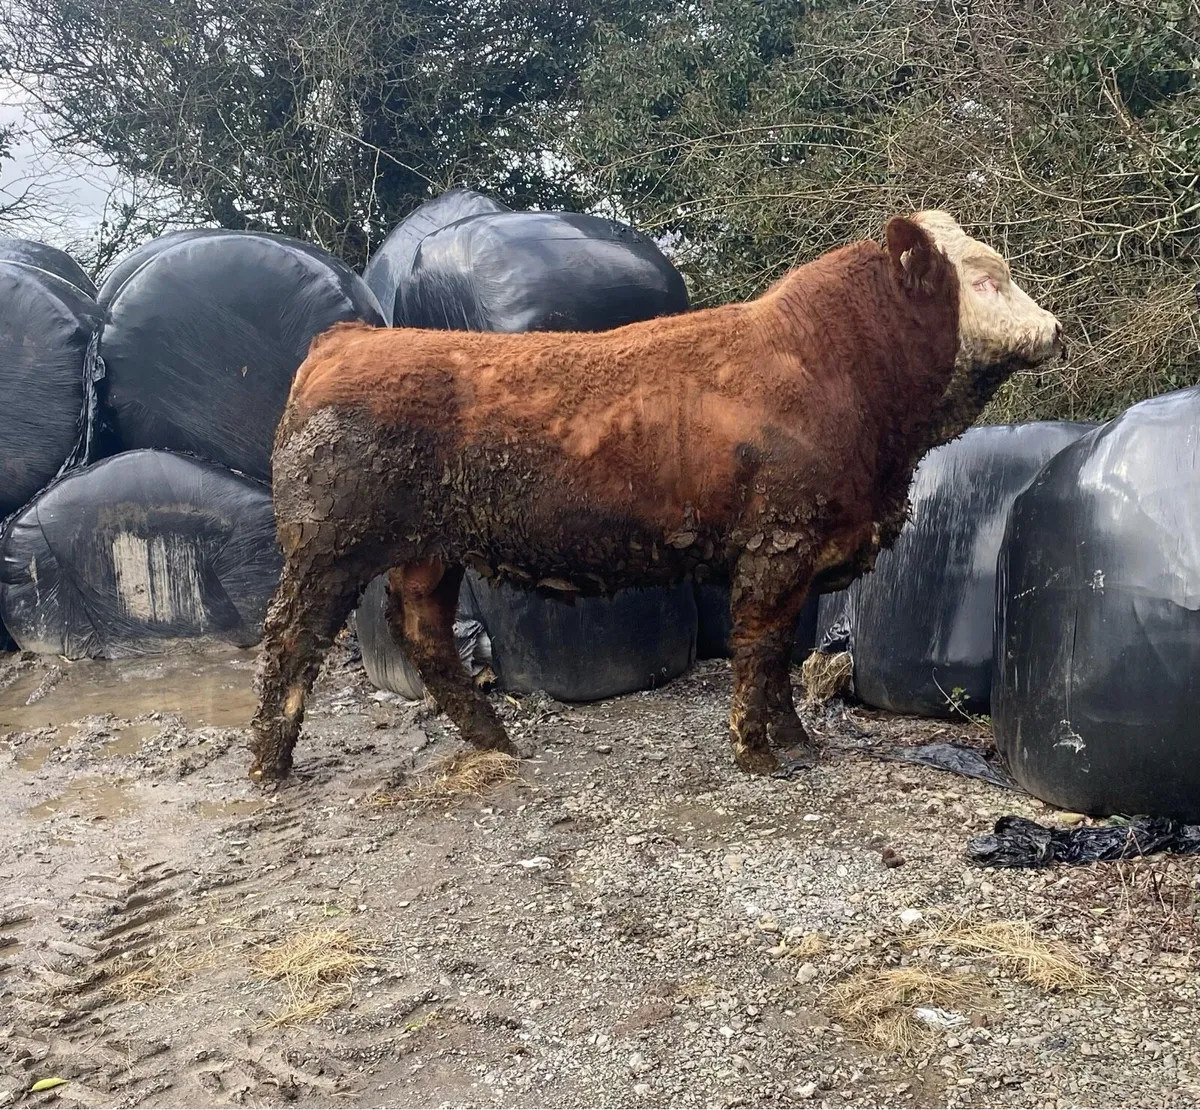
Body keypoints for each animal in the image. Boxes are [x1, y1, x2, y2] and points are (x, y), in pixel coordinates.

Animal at [247, 211, 1064, 783]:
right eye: (984, 279)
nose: (1054, 328)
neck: (830, 368)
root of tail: (347, 339)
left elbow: (777, 655)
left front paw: (796, 744)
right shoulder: (777, 544)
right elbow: (760, 647)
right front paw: (760, 753)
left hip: (427, 552)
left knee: (422, 634)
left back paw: (495, 741)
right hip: (327, 547)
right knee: (290, 642)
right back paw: (269, 767)